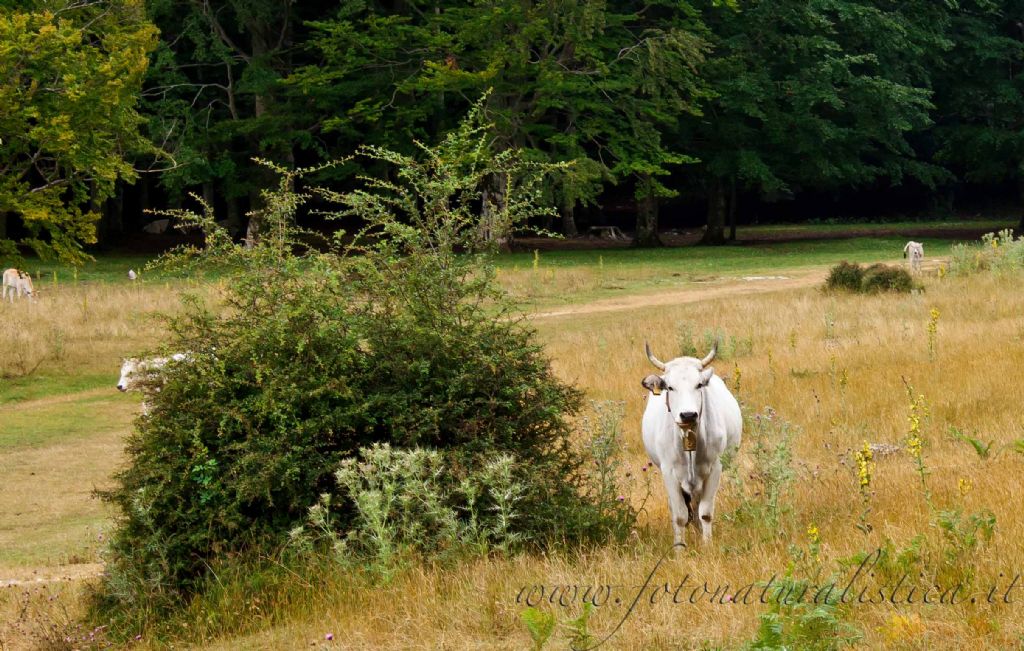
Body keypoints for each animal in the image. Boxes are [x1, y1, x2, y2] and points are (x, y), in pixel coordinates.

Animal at [643, 343, 741, 548]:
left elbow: (705, 513)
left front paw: (707, 546)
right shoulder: (668, 472)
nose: (688, 415)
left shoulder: (715, 469)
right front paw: (679, 548)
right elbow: (680, 516)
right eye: (670, 387)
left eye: (699, 385)